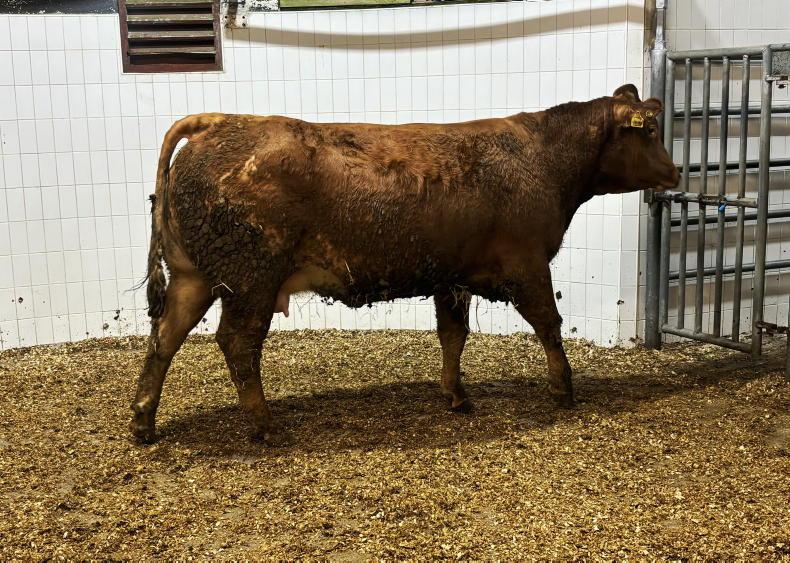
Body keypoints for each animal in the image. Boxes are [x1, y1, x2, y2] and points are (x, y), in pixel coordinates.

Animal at [130, 84, 679, 444]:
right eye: (651, 128)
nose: (676, 171)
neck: (540, 157)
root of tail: (221, 121)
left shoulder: (452, 275)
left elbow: (453, 335)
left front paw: (457, 395)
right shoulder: (527, 265)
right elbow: (549, 324)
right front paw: (563, 389)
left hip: (194, 277)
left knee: (164, 338)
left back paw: (143, 421)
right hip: (251, 279)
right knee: (237, 343)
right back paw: (265, 426)